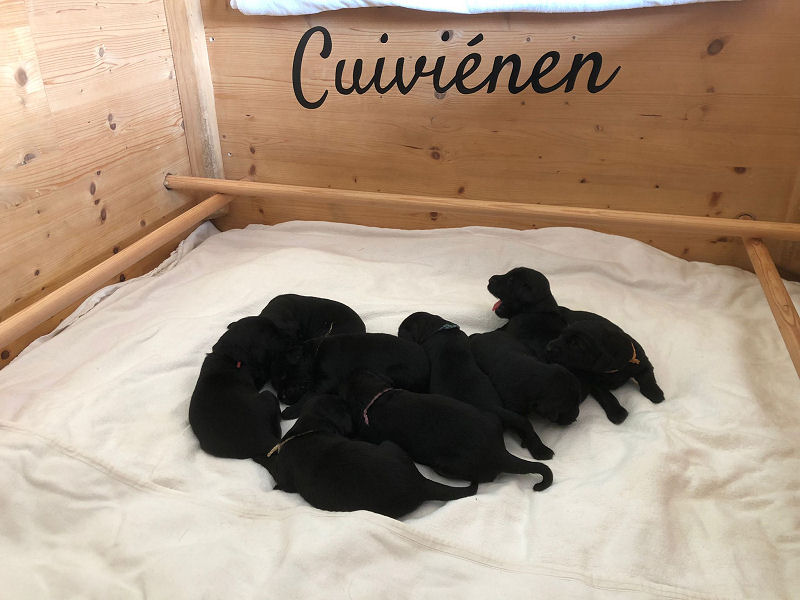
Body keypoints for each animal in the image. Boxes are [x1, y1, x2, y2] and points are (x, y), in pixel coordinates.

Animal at [276, 333, 430, 418]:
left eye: (283, 375)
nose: (281, 398)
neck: (315, 353)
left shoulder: (326, 381)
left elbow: (309, 395)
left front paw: (289, 411)